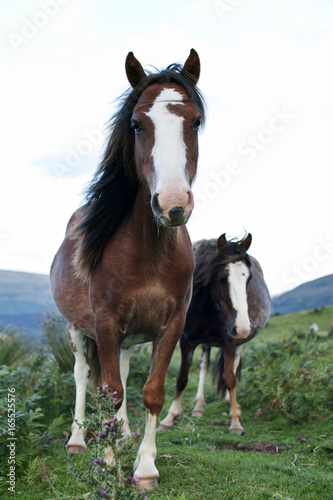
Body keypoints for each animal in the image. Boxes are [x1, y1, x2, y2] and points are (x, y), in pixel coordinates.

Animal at [50, 49, 205, 488]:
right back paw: (79, 440)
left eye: (195, 121)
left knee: (116, 369)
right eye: (137, 124)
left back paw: (121, 435)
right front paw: (106, 461)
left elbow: (151, 392)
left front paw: (145, 466)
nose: (171, 205)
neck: (150, 253)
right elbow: (112, 390)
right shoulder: (103, 322)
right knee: (84, 376)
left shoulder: (171, 324)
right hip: (77, 329)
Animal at [158, 233, 270, 434]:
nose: (242, 328)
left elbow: (230, 378)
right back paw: (198, 406)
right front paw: (169, 417)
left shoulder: (229, 341)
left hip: (240, 344)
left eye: (249, 279)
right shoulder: (186, 341)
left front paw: (235, 421)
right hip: (206, 342)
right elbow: (182, 378)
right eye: (223, 278)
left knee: (233, 365)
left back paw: (230, 402)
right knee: (204, 364)